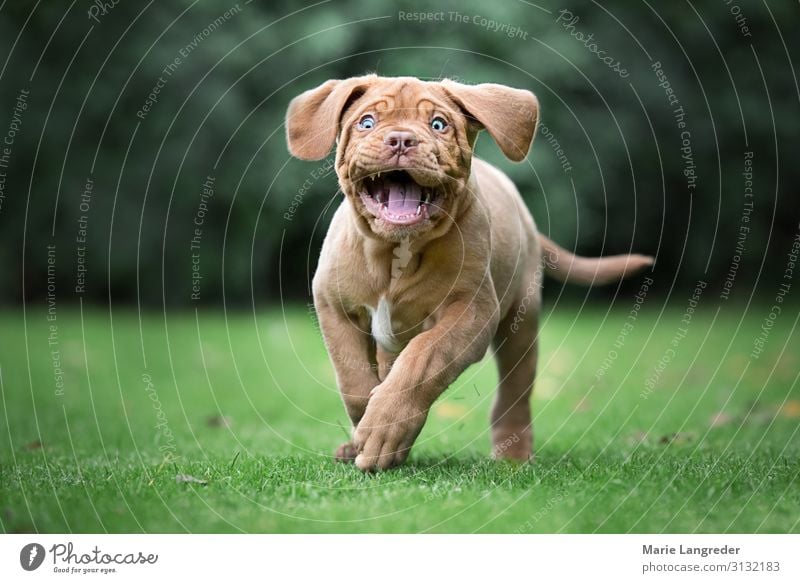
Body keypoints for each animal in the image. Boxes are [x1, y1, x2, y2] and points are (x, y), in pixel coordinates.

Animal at [284, 76, 652, 470]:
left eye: (438, 124)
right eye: (367, 122)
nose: (401, 139)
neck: (395, 252)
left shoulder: (470, 313)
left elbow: (421, 360)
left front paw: (383, 428)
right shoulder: (334, 306)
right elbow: (352, 381)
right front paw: (368, 433)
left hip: (521, 322)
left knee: (515, 391)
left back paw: (513, 454)